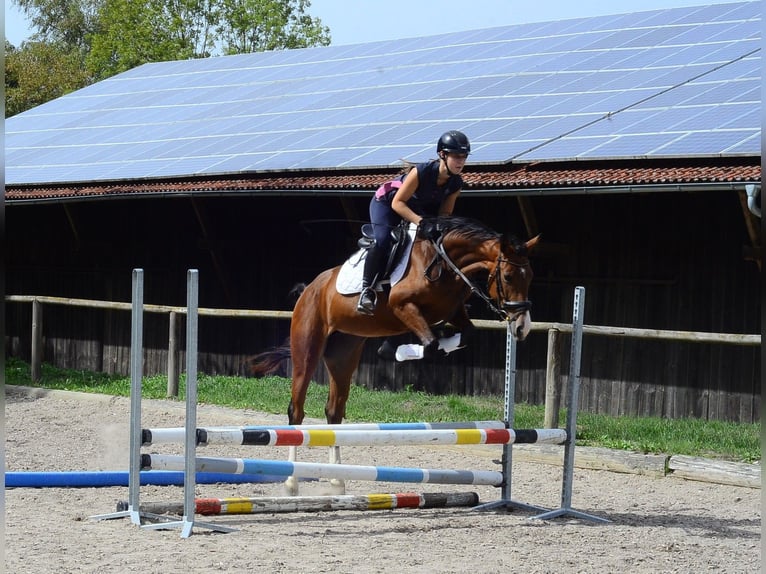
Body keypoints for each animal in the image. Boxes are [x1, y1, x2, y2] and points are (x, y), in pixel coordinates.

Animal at [248, 215, 540, 495]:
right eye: (509, 276)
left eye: (530, 277)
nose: (522, 327)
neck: (445, 264)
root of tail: (310, 288)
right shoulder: (403, 306)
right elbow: (430, 344)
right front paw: (394, 351)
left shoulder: (453, 311)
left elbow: (464, 335)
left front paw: (403, 348)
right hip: (307, 349)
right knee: (296, 412)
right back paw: (291, 482)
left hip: (343, 355)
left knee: (334, 413)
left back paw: (337, 480)